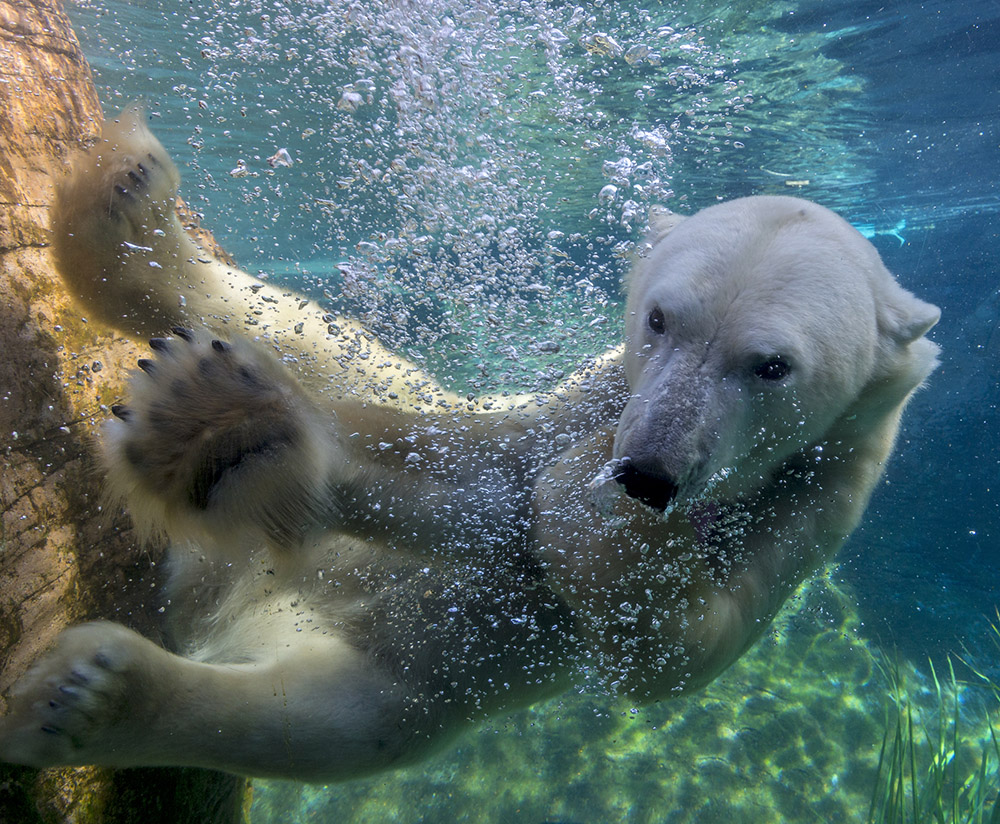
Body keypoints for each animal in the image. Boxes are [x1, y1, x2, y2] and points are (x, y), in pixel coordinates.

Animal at [0, 109, 940, 781]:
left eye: (771, 365)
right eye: (660, 318)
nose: (645, 471)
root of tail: (216, 604)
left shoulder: (827, 493)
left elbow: (675, 647)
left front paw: (597, 514)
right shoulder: (602, 390)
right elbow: (489, 474)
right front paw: (231, 436)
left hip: (391, 681)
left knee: (315, 720)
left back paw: (86, 691)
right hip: (380, 385)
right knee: (309, 341)